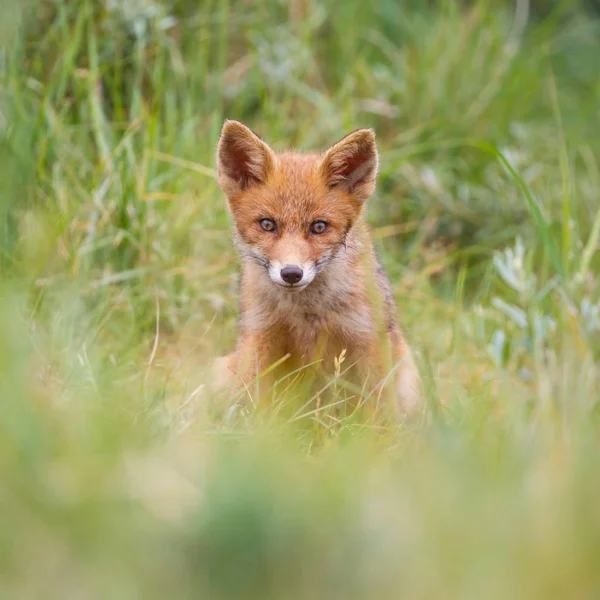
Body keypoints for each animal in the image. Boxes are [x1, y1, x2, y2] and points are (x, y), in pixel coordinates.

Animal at [213, 117, 420, 418]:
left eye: (319, 227)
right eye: (267, 224)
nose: (291, 273)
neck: (307, 313)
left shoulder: (368, 338)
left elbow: (377, 413)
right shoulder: (261, 334)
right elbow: (256, 402)